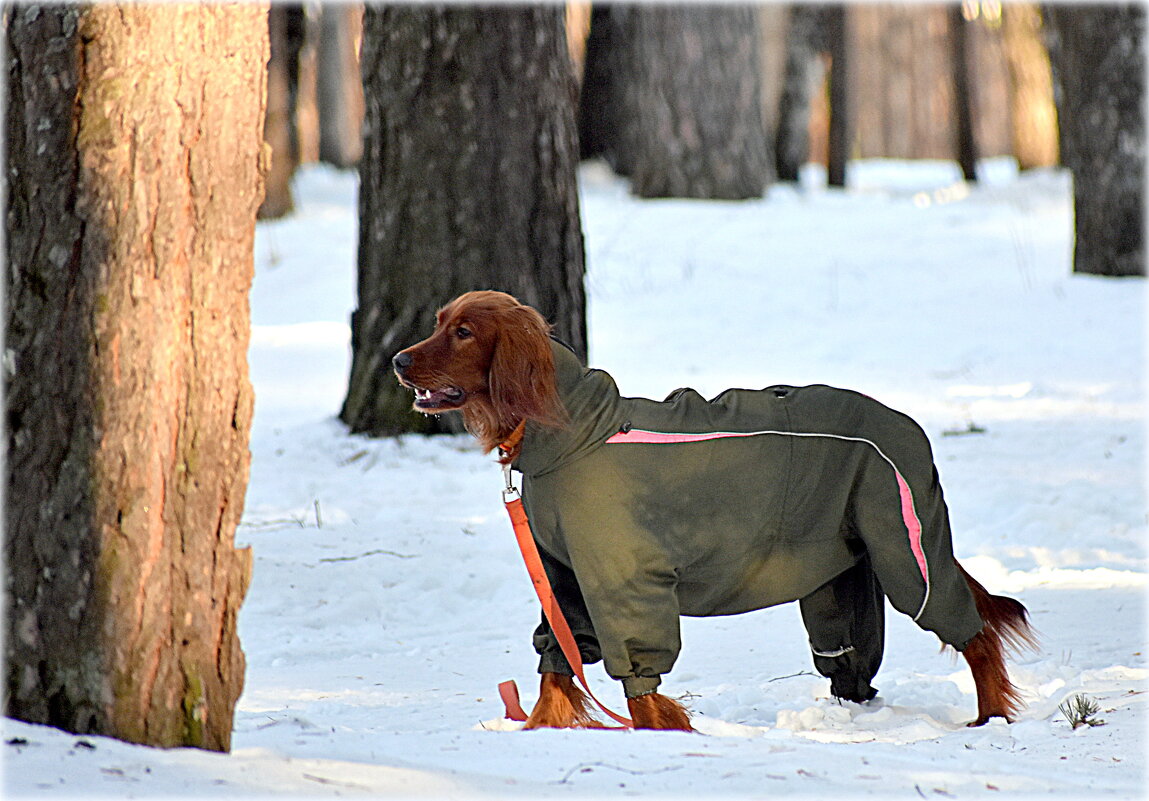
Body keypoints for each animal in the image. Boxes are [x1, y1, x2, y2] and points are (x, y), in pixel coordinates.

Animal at [390, 290, 1038, 726]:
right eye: (440, 323)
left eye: (465, 332)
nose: (397, 360)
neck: (573, 430)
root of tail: (905, 422)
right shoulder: (564, 574)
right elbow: (558, 660)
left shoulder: (627, 581)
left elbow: (641, 683)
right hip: (840, 572)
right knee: (853, 657)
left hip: (903, 550)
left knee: (973, 630)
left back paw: (990, 719)